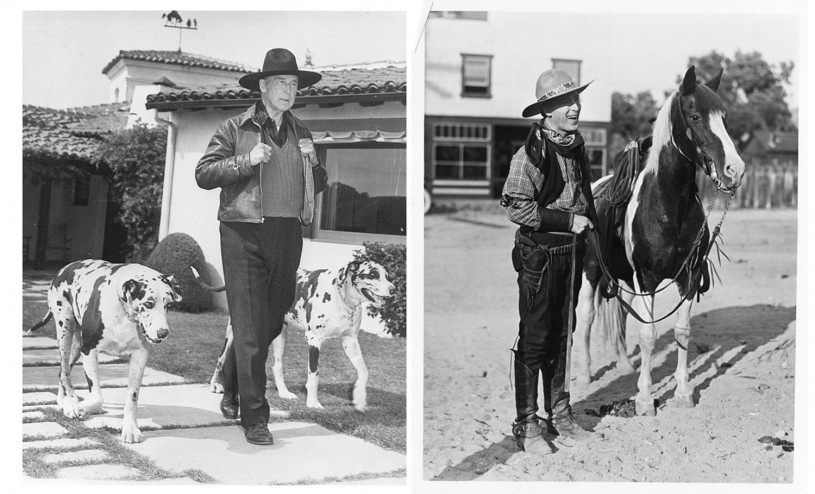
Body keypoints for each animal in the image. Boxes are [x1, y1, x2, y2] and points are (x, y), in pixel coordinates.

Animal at [27, 260, 180, 442]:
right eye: (148, 303)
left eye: (169, 305)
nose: (163, 333)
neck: (123, 313)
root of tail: (63, 269)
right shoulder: (89, 350)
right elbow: (97, 397)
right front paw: (80, 406)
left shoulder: (140, 356)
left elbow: (132, 397)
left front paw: (130, 428)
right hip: (65, 331)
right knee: (64, 372)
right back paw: (71, 403)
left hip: (76, 347)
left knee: (63, 371)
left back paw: (62, 400)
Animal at [204, 260, 396, 412]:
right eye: (373, 274)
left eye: (387, 276)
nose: (393, 289)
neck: (340, 297)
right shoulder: (314, 341)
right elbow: (314, 375)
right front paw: (312, 402)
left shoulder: (350, 341)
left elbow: (364, 371)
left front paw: (359, 398)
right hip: (234, 333)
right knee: (221, 358)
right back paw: (216, 384)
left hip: (279, 336)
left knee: (276, 366)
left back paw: (283, 392)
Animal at [572, 64, 744, 412]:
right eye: (694, 115)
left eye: (725, 118)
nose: (735, 169)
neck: (668, 207)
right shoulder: (647, 278)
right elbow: (649, 335)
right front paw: (645, 398)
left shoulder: (689, 277)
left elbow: (682, 331)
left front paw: (683, 392)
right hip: (591, 270)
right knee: (587, 316)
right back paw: (584, 375)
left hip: (623, 277)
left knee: (622, 314)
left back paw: (625, 365)